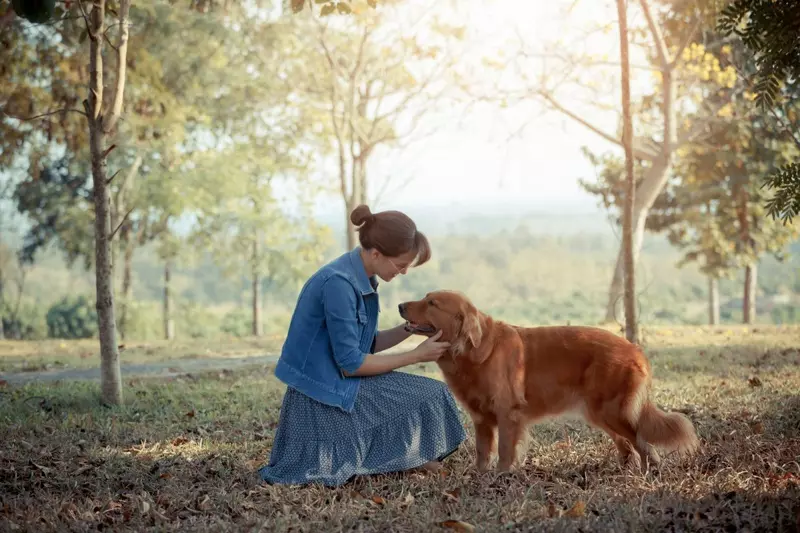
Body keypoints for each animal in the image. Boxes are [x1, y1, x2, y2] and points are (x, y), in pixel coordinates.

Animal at [400, 288, 700, 472]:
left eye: (431, 303)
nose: (401, 305)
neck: (474, 350)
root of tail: (635, 349)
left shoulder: (508, 414)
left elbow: (506, 451)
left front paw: (502, 476)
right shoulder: (482, 420)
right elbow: (483, 452)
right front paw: (481, 476)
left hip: (612, 411)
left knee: (642, 441)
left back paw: (648, 473)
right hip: (600, 413)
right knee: (627, 444)